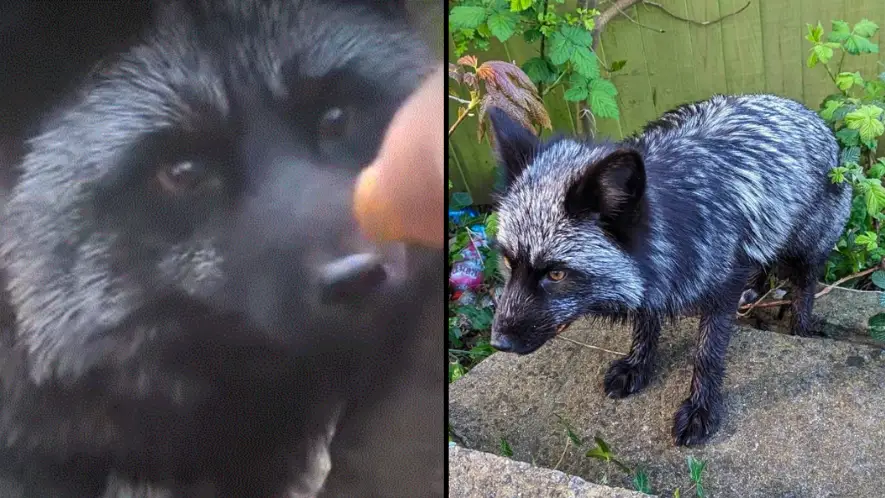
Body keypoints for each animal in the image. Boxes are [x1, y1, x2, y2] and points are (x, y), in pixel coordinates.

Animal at [487, 94, 852, 446]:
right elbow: (645, 324)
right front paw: (638, 365)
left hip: (808, 245)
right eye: (507, 261)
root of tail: (813, 117)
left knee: (805, 283)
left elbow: (707, 354)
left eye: (556, 274)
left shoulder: (721, 287)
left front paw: (701, 409)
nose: (498, 343)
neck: (676, 218)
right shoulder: (656, 274)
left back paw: (800, 328)